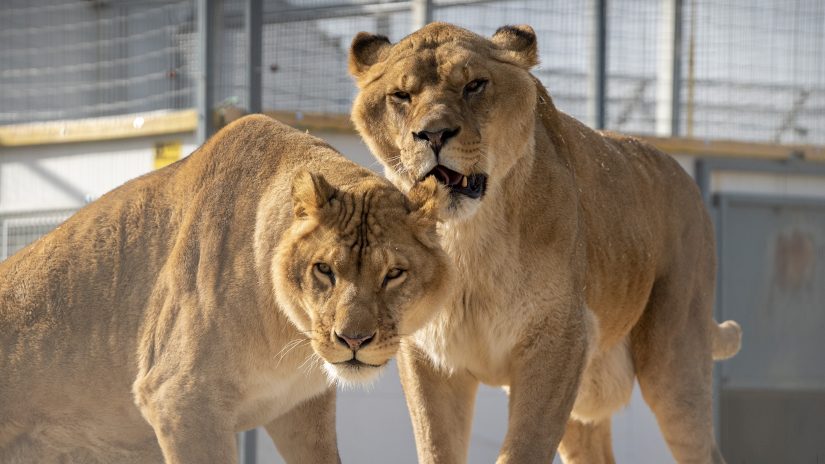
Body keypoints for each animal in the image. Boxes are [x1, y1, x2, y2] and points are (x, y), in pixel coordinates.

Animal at [0, 115, 453, 463]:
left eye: (394, 273)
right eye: (324, 269)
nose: (353, 340)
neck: (290, 334)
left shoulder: (300, 408)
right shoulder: (179, 398)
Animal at [348, 23, 742, 463]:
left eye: (474, 85)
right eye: (401, 96)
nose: (433, 134)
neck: (467, 240)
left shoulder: (559, 341)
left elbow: (524, 448)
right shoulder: (427, 355)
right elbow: (436, 447)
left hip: (674, 363)